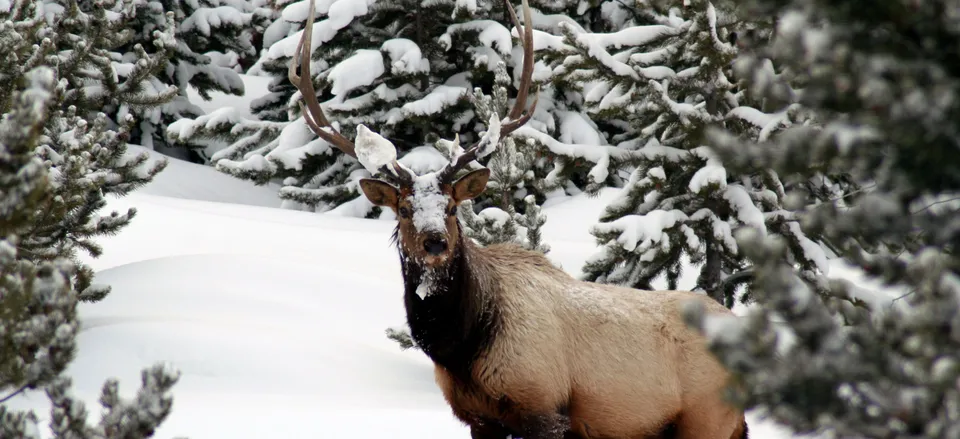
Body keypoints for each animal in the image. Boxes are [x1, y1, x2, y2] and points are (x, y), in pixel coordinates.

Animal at [288, 0, 748, 438]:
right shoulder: (477, 417)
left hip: (707, 417)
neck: (461, 346)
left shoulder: (543, 406)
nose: (435, 242)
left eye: (451, 207)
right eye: (403, 210)